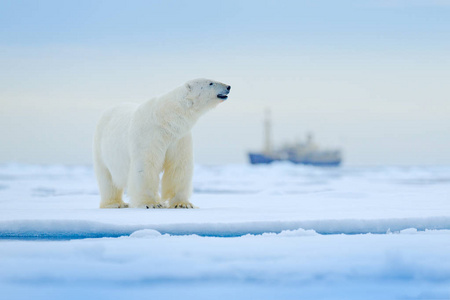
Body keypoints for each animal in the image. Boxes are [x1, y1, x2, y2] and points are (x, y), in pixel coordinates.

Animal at [92, 79, 230, 209]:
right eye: (210, 83)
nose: (228, 86)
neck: (166, 119)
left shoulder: (179, 137)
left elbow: (179, 166)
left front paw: (183, 204)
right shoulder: (149, 135)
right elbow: (146, 166)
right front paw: (149, 203)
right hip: (101, 147)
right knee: (107, 178)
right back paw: (115, 203)